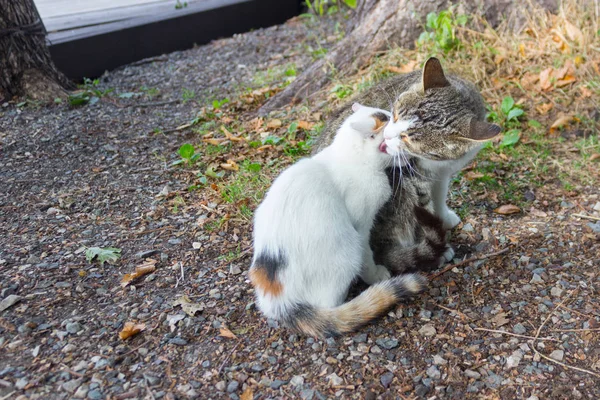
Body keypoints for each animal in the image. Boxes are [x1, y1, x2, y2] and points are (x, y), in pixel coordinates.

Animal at [248, 102, 426, 338]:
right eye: (389, 141)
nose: (409, 152)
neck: (351, 159)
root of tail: (281, 300)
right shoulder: (361, 226)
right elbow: (368, 256)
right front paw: (375, 274)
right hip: (348, 250)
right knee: (330, 305)